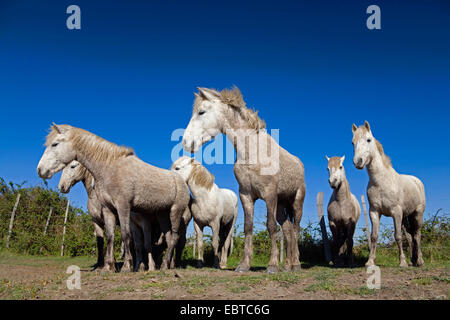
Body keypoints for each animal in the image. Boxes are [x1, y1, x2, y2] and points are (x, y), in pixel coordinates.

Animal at [37, 124, 191, 272]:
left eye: (55, 144)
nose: (40, 170)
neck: (111, 168)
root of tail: (182, 181)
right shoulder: (107, 209)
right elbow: (110, 237)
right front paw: (108, 267)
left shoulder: (123, 206)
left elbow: (125, 235)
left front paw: (126, 267)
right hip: (163, 215)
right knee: (169, 237)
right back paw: (167, 264)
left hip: (175, 212)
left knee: (174, 238)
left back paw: (165, 265)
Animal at [181, 85, 304, 272]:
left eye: (201, 112)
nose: (186, 142)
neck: (252, 152)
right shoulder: (246, 195)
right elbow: (248, 227)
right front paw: (244, 265)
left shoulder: (269, 195)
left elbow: (271, 226)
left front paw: (272, 265)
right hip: (281, 205)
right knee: (288, 230)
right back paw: (287, 266)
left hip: (296, 201)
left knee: (296, 228)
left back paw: (296, 264)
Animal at [352, 121, 426, 266]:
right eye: (353, 142)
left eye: (368, 140)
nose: (358, 161)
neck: (381, 181)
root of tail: (417, 181)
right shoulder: (374, 212)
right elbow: (374, 236)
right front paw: (370, 261)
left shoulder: (396, 212)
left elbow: (397, 236)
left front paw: (402, 262)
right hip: (405, 216)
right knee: (410, 236)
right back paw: (412, 261)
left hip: (417, 214)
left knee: (417, 235)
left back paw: (419, 261)